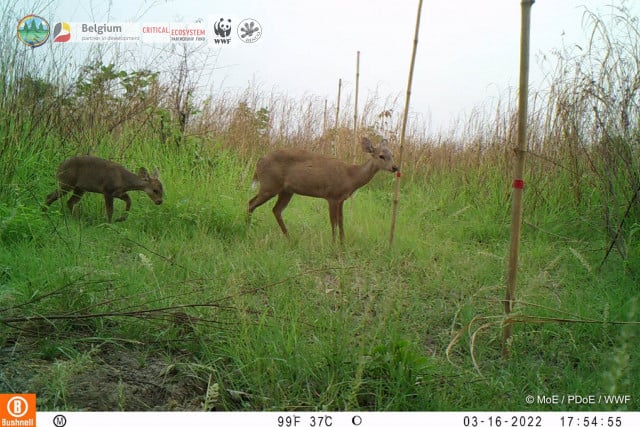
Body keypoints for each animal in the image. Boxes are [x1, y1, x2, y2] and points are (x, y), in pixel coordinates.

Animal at [248, 138, 398, 242]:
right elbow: (333, 221)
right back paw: (247, 229)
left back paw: (289, 237)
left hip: (286, 190)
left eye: (392, 154)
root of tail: (259, 161)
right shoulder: (332, 196)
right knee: (251, 203)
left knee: (276, 210)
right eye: (381, 155)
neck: (351, 176)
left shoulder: (341, 199)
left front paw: (343, 243)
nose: (395, 167)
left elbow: (341, 220)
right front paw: (333, 243)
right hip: (269, 185)